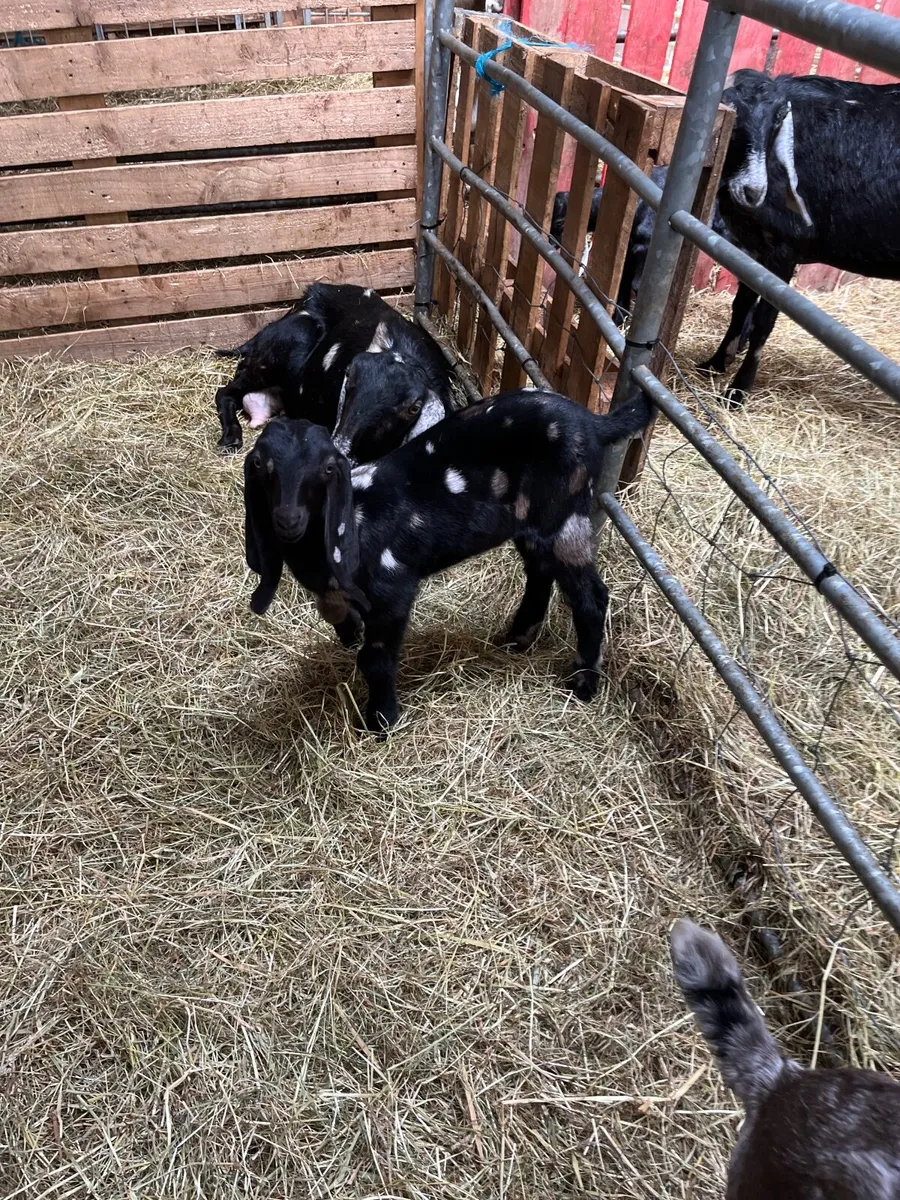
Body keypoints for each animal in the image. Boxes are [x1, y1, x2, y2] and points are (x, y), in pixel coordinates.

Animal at [215, 283, 455, 458]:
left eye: (413, 408)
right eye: (348, 382)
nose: (341, 446)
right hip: (286, 344)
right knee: (225, 392)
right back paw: (231, 438)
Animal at [243, 390, 652, 732]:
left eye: (327, 469)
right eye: (261, 465)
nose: (288, 519)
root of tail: (594, 422)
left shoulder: (393, 588)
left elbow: (375, 658)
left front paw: (380, 721)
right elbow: (335, 614)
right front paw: (350, 631)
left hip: (564, 511)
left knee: (590, 597)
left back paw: (583, 682)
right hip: (530, 522)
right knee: (540, 570)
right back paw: (519, 636)